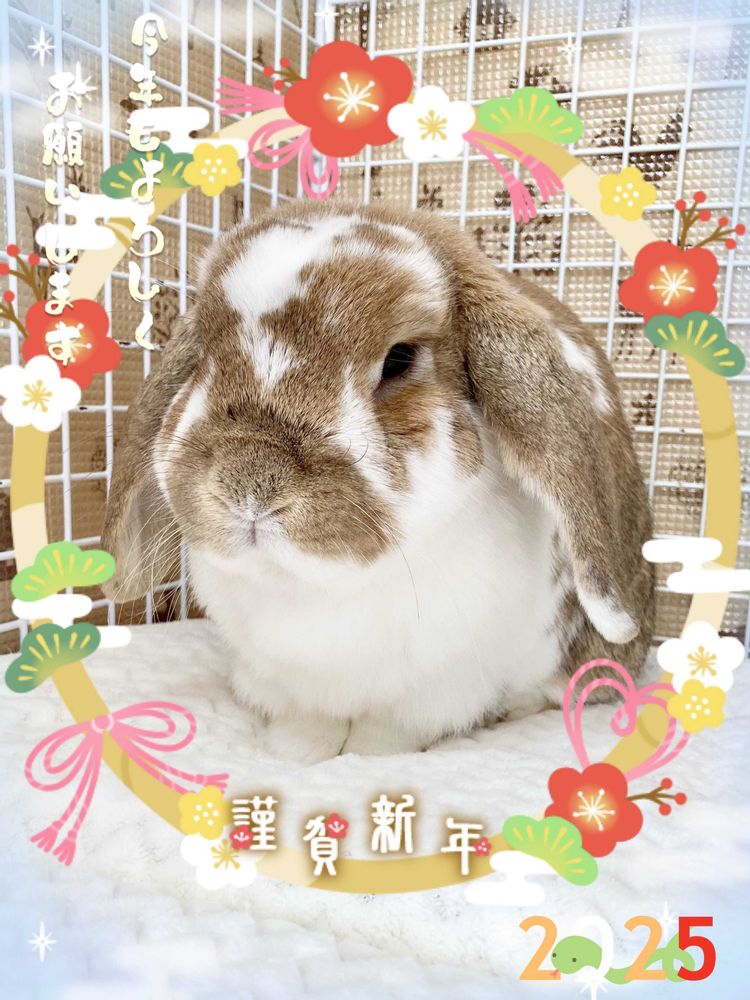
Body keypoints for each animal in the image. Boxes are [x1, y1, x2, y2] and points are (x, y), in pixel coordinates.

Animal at [101, 200, 654, 762]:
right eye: (203, 356)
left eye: (400, 358)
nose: (249, 482)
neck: (320, 587)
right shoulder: (286, 681)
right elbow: (308, 725)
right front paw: (294, 753)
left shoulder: (438, 687)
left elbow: (388, 734)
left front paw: (366, 755)